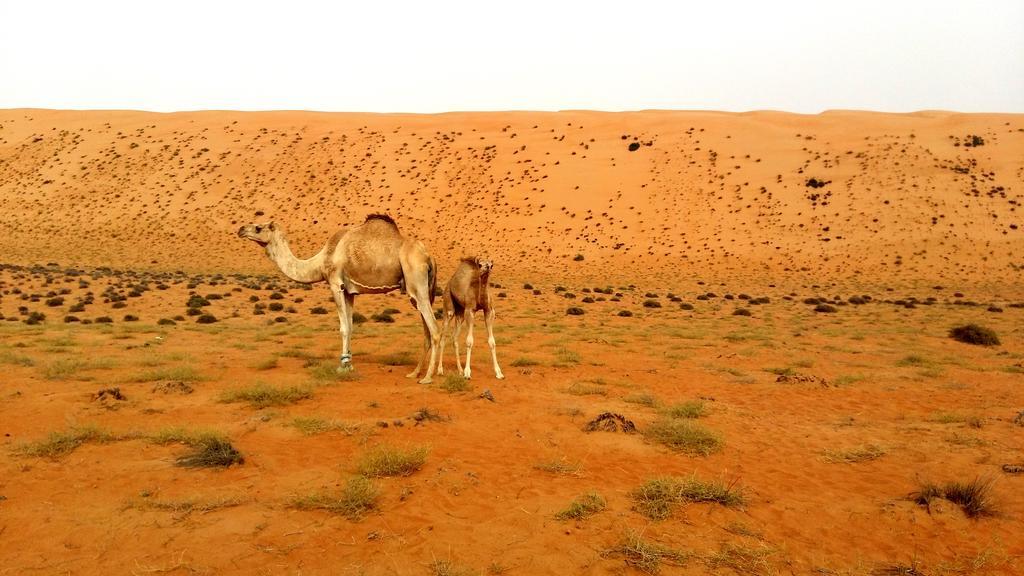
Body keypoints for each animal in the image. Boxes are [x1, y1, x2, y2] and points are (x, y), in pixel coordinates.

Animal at [238, 213, 440, 383]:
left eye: (258, 227)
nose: (240, 229)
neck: (320, 262)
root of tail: (428, 256)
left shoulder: (335, 284)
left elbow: (343, 328)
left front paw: (342, 366)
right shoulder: (349, 292)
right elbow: (350, 327)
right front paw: (348, 363)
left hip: (416, 281)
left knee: (435, 329)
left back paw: (428, 377)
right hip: (421, 291)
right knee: (426, 330)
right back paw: (415, 372)